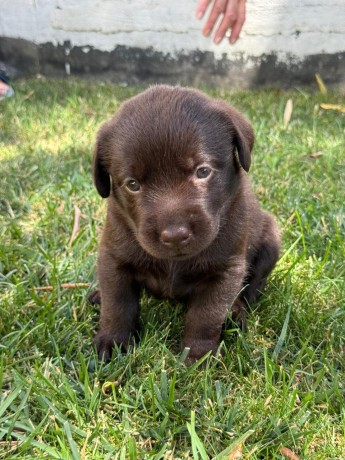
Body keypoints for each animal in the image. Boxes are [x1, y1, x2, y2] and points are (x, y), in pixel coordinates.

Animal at [89, 84, 280, 362]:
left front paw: (198, 356)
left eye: (203, 171)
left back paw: (236, 313)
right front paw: (113, 342)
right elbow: (117, 304)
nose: (175, 235)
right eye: (132, 184)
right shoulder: (114, 258)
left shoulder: (226, 269)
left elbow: (206, 316)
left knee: (251, 289)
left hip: (270, 239)